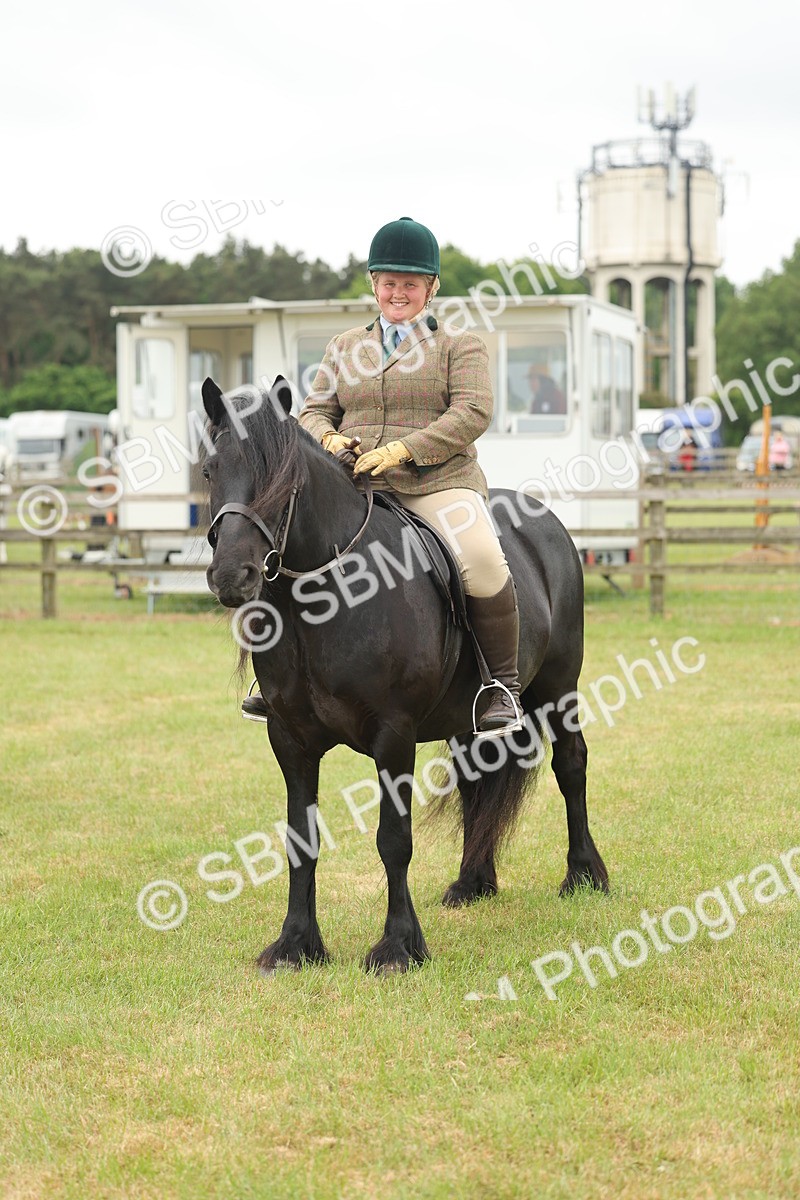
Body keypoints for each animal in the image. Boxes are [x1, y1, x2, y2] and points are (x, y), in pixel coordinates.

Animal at [201, 376, 609, 974]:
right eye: (210, 470)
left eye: (285, 479)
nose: (233, 575)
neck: (328, 598)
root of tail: (543, 518)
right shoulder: (289, 738)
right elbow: (301, 840)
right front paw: (296, 944)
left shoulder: (393, 734)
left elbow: (393, 839)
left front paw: (398, 946)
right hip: (470, 718)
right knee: (478, 782)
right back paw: (472, 882)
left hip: (559, 688)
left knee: (571, 767)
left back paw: (584, 875)